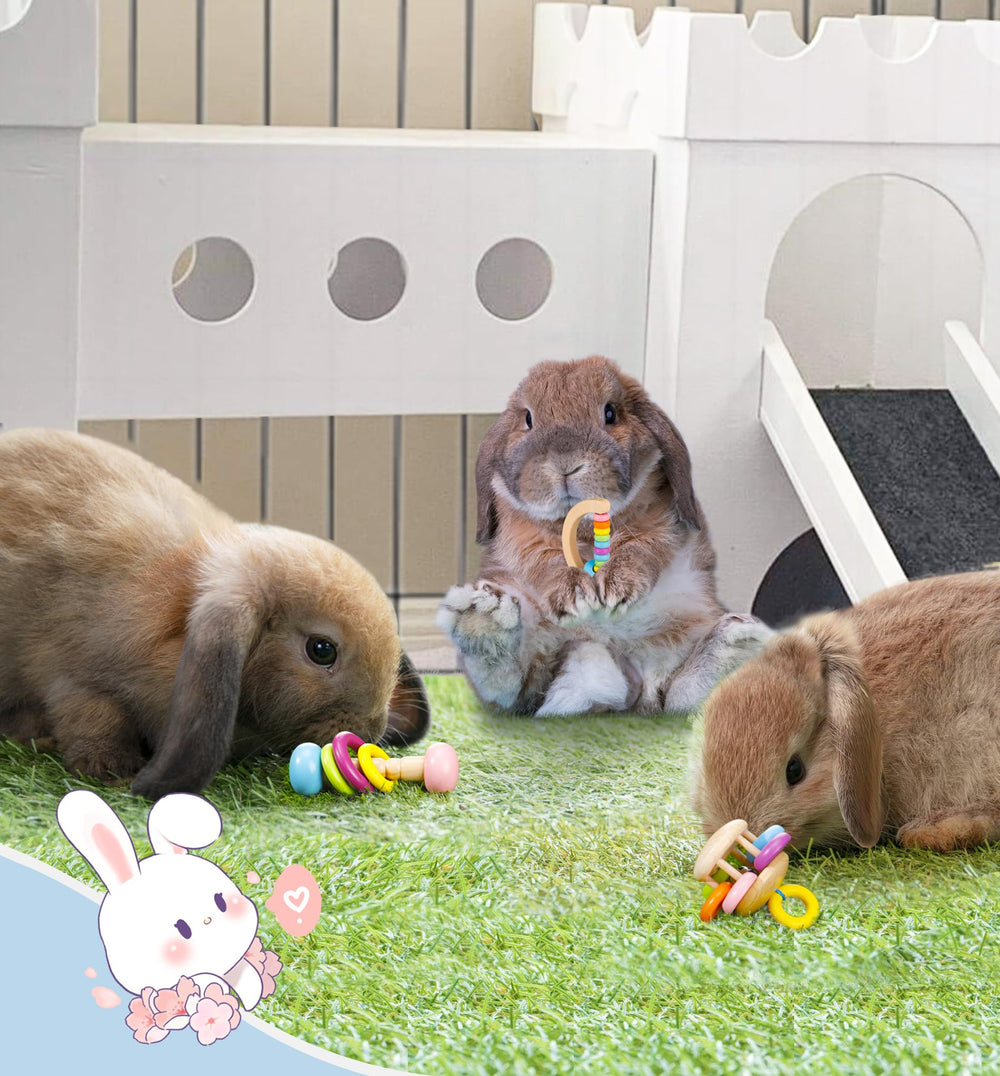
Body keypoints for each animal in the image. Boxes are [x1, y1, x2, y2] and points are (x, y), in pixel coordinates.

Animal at [437, 356, 771, 716]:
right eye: (528, 419)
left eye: (610, 413)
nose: (565, 465)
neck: (581, 526)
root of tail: (630, 689)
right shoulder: (523, 539)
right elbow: (547, 560)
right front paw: (577, 597)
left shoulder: (662, 526)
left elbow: (639, 548)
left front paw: (616, 591)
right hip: (541, 650)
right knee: (519, 688)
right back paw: (482, 619)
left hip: (689, 631)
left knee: (680, 695)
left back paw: (739, 643)